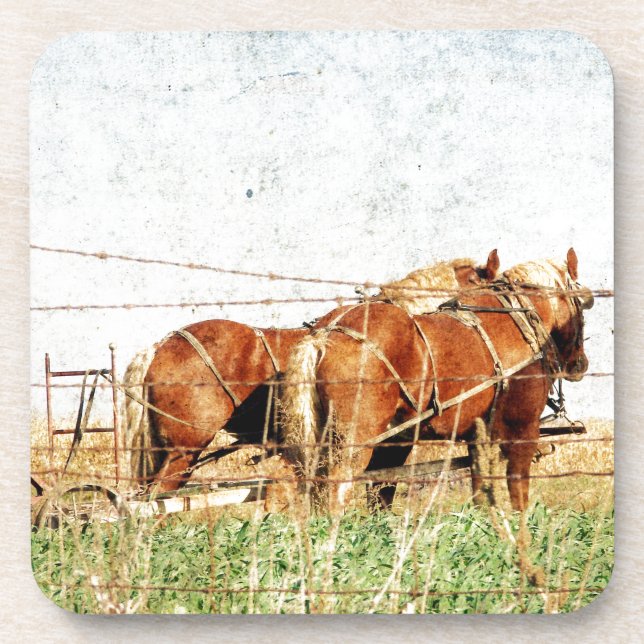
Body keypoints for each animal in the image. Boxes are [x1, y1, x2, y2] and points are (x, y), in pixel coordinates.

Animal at [275, 248, 593, 514]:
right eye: (581, 305)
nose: (580, 364)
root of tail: (323, 336)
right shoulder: (522, 431)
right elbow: (518, 494)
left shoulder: (474, 437)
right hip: (353, 443)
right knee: (334, 493)